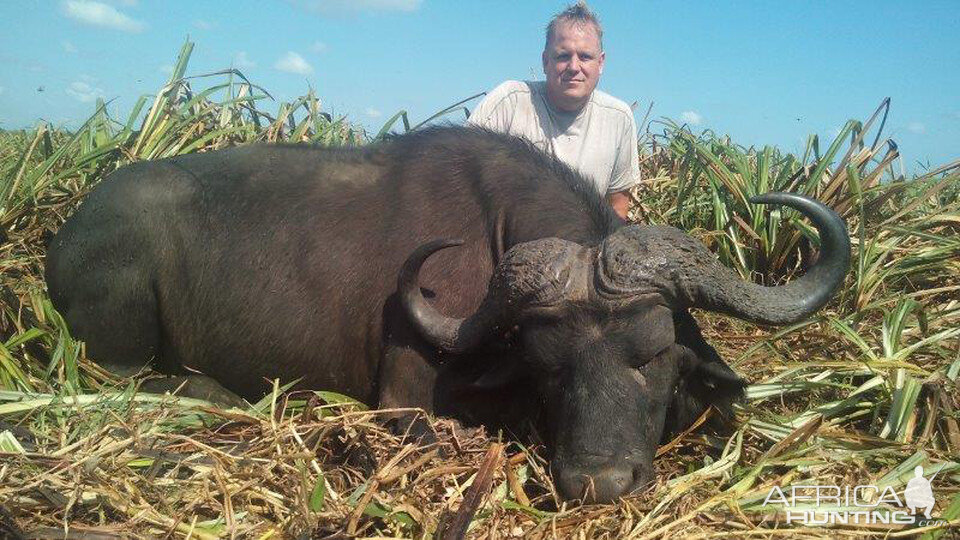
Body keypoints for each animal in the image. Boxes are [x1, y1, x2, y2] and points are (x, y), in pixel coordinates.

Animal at [45, 125, 848, 502]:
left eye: (652, 355)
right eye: (547, 366)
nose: (598, 482)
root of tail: (67, 237)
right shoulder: (403, 397)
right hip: (122, 345)